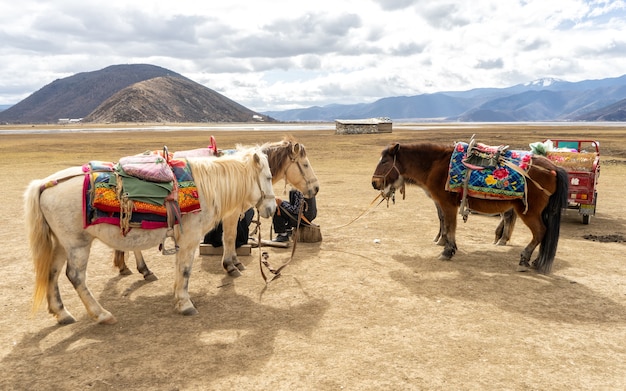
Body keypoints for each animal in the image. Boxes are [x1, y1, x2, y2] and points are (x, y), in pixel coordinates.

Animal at [24, 146, 274, 324]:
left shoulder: (183, 241)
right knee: (75, 276)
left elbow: (179, 269)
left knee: (52, 272)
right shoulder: (190, 240)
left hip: (61, 244)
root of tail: (44, 184)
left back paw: (62, 313)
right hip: (77, 244)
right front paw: (185, 304)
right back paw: (102, 315)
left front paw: (177, 298)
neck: (205, 188)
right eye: (269, 178)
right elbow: (185, 271)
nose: (272, 209)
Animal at [372, 142, 568, 274]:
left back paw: (524, 259)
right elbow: (444, 222)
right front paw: (445, 243)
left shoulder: (447, 204)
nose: (374, 183)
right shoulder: (442, 204)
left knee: (540, 231)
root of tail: (553, 167)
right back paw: (535, 260)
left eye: (385, 162)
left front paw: (447, 251)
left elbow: (450, 225)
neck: (435, 165)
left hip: (529, 211)